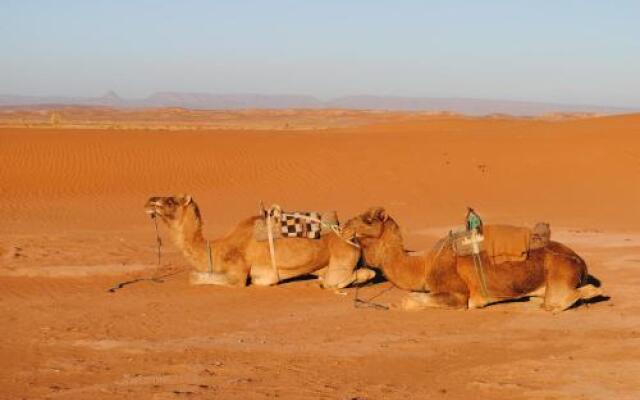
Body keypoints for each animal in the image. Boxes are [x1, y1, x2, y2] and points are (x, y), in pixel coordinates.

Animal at [144, 195, 376, 286]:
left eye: (170, 201)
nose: (150, 201)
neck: (216, 249)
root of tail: (351, 238)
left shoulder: (239, 275)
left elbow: (194, 277)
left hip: (341, 258)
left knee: (343, 278)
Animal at [342, 208, 604, 314]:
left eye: (367, 220)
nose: (343, 227)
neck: (424, 265)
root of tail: (581, 261)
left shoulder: (457, 294)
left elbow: (409, 299)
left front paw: (397, 305)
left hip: (561, 277)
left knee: (572, 296)